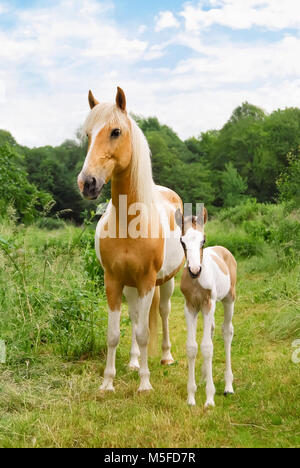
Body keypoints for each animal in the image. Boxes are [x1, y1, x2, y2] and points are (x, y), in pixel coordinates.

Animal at [77, 87, 185, 392]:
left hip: (166, 282)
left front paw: (145, 385)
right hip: (131, 286)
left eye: (116, 131)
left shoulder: (148, 280)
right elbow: (115, 333)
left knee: (163, 313)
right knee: (137, 317)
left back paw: (165, 357)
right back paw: (135, 362)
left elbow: (145, 332)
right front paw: (107, 383)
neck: (130, 224)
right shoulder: (113, 281)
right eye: (88, 134)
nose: (87, 183)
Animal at [176, 207, 237, 408]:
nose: (195, 270)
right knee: (211, 329)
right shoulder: (190, 307)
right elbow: (192, 347)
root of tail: (223, 250)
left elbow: (207, 347)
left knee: (227, 331)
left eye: (203, 240)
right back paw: (203, 378)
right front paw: (191, 397)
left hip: (228, 299)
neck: (196, 282)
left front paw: (210, 399)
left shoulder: (208, 304)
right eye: (182, 241)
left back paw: (228, 386)